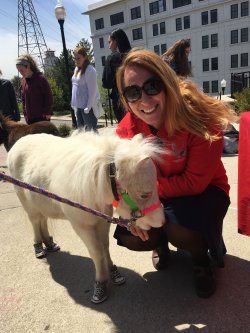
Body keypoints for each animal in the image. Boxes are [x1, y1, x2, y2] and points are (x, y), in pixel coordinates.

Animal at [6, 130, 165, 304]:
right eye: (145, 194)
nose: (161, 221)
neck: (94, 186)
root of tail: (19, 141)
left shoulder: (103, 221)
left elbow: (105, 246)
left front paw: (113, 272)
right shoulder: (81, 226)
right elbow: (96, 252)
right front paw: (100, 285)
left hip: (42, 202)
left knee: (43, 220)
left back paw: (49, 243)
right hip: (27, 203)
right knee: (35, 221)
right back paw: (39, 248)